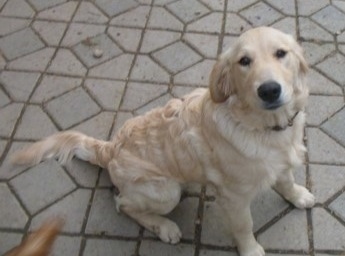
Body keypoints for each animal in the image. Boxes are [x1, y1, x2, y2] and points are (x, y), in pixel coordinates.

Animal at [10, 27, 314, 255]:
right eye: (244, 61)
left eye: (281, 53)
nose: (269, 90)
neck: (265, 127)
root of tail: (109, 148)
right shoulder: (234, 197)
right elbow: (244, 226)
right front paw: (251, 250)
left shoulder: (282, 163)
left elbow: (286, 181)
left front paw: (298, 195)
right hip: (166, 191)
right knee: (123, 204)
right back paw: (164, 227)